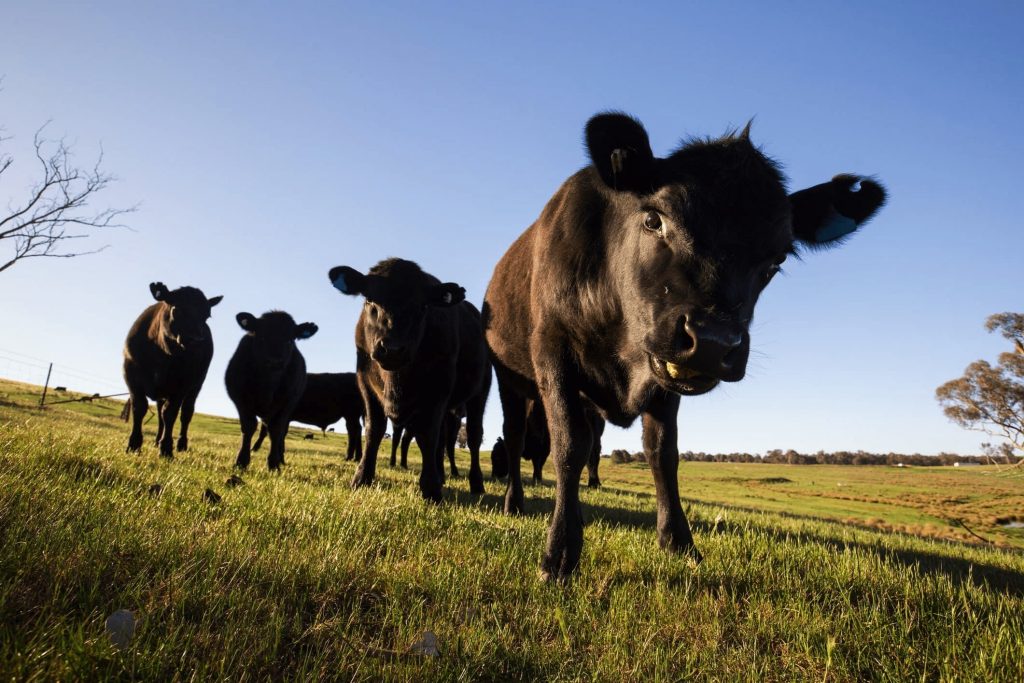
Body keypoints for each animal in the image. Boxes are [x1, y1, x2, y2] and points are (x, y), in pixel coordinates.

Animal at [122, 282, 222, 456]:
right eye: (177, 309)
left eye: (207, 316)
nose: (198, 340)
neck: (162, 354)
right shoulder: (130, 374)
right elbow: (139, 407)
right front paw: (134, 444)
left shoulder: (182, 385)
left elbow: (171, 413)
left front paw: (166, 448)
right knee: (160, 412)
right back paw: (156, 440)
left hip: (196, 386)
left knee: (186, 413)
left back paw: (181, 444)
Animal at [225, 311, 318, 471]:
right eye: (261, 337)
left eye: (290, 340)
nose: (275, 361)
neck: (267, 384)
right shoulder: (239, 398)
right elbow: (249, 426)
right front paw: (241, 461)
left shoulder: (286, 404)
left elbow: (276, 430)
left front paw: (274, 464)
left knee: (279, 433)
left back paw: (280, 459)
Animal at [328, 258, 491, 502]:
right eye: (369, 300)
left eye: (423, 307)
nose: (392, 349)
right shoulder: (365, 382)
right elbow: (374, 430)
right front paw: (361, 478)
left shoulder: (439, 387)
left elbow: (428, 435)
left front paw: (431, 488)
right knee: (443, 439)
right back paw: (442, 475)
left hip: (480, 391)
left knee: (473, 435)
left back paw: (476, 483)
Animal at [483, 112, 886, 581]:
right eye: (654, 220)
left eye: (778, 259)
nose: (711, 342)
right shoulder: (554, 350)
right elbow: (568, 446)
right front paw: (560, 552)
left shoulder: (664, 379)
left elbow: (663, 453)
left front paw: (678, 541)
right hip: (510, 378)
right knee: (515, 437)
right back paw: (513, 502)